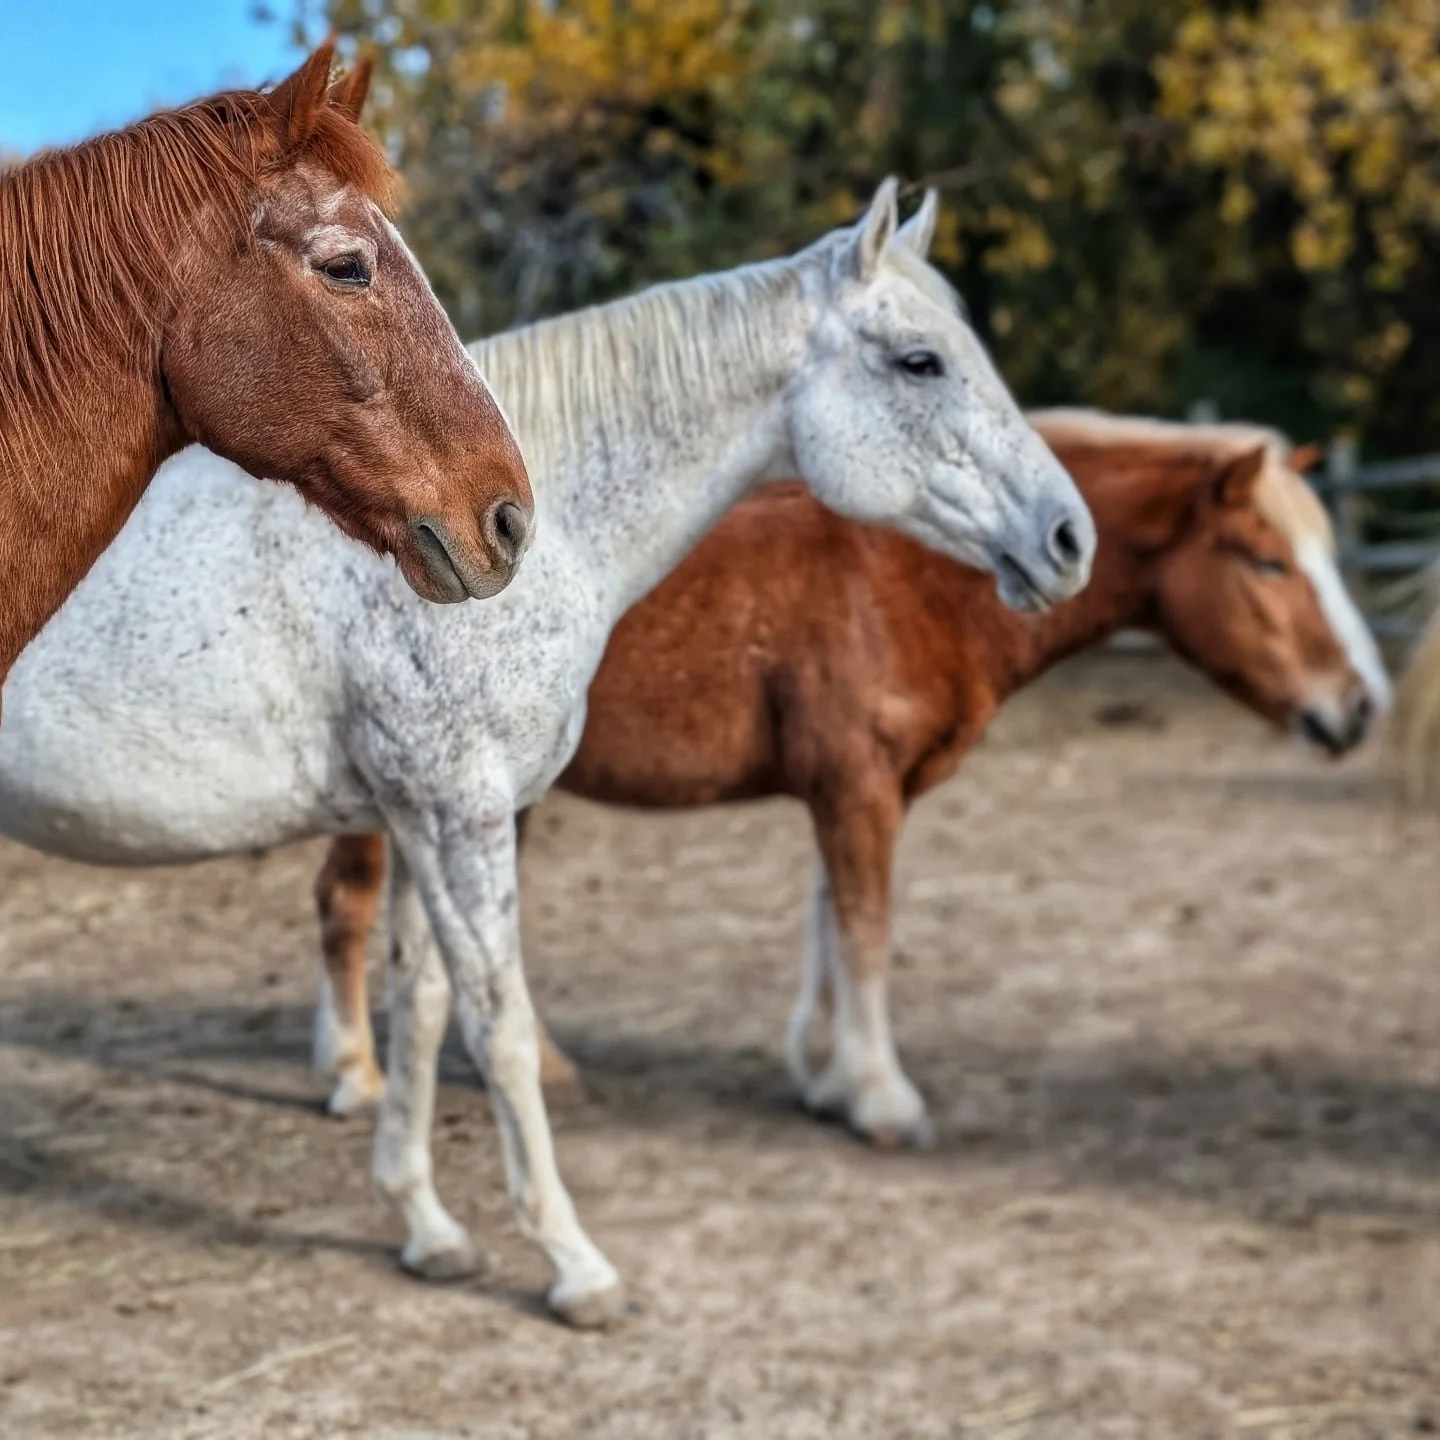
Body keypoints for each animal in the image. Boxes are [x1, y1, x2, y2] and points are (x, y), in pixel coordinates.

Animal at [0, 182, 1094, 1326]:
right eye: (919, 362)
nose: (1069, 539)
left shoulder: (418, 820)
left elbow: (425, 1010)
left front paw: (429, 1230)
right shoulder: (459, 813)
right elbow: (503, 1027)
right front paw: (576, 1264)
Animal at [308, 409, 1389, 1149]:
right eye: (1266, 562)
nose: (1360, 707)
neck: (913, 574)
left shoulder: (855, 793)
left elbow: (832, 922)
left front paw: (826, 1077)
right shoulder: (860, 790)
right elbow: (867, 932)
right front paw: (882, 1099)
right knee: (345, 902)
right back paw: (357, 1073)